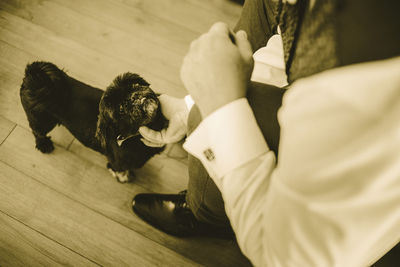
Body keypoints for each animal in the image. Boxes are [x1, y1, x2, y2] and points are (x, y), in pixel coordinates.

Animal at [19, 61, 167, 183]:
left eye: (135, 84)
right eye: (121, 110)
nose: (132, 97)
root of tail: (35, 79)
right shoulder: (117, 162)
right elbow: (118, 169)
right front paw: (124, 177)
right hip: (42, 120)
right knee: (37, 131)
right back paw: (44, 144)